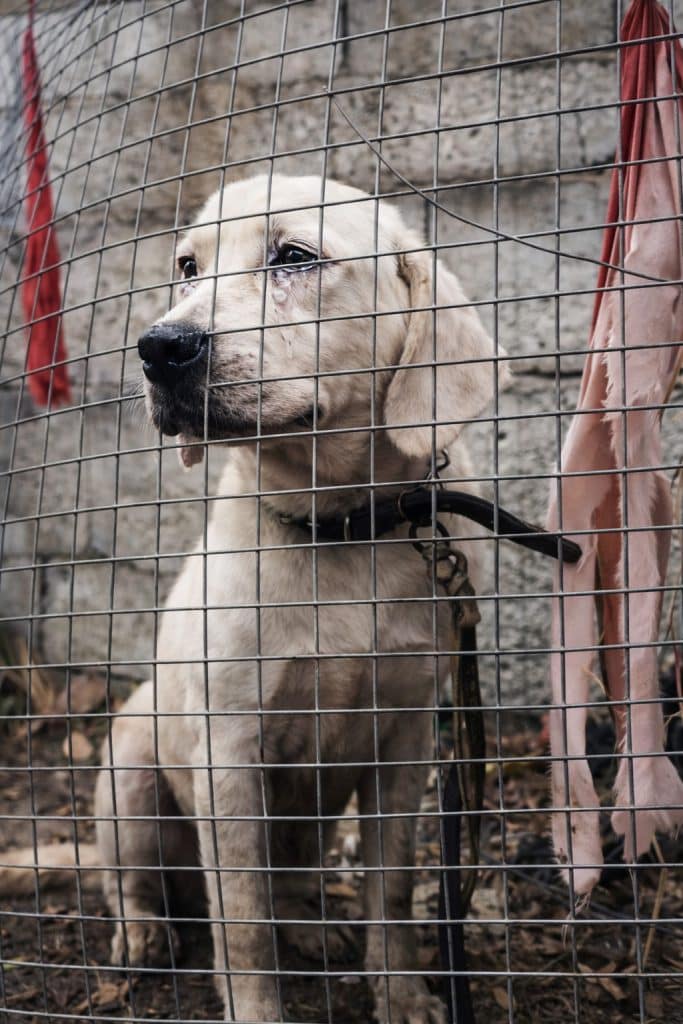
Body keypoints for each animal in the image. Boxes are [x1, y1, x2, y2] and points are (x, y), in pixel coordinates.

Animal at [94, 174, 500, 1023]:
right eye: (187, 266)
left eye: (294, 257)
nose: (159, 347)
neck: (335, 525)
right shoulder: (227, 757)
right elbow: (242, 927)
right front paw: (256, 1011)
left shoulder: (404, 743)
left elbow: (390, 891)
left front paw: (400, 993)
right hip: (129, 784)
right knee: (139, 886)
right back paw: (144, 936)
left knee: (291, 889)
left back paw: (310, 928)